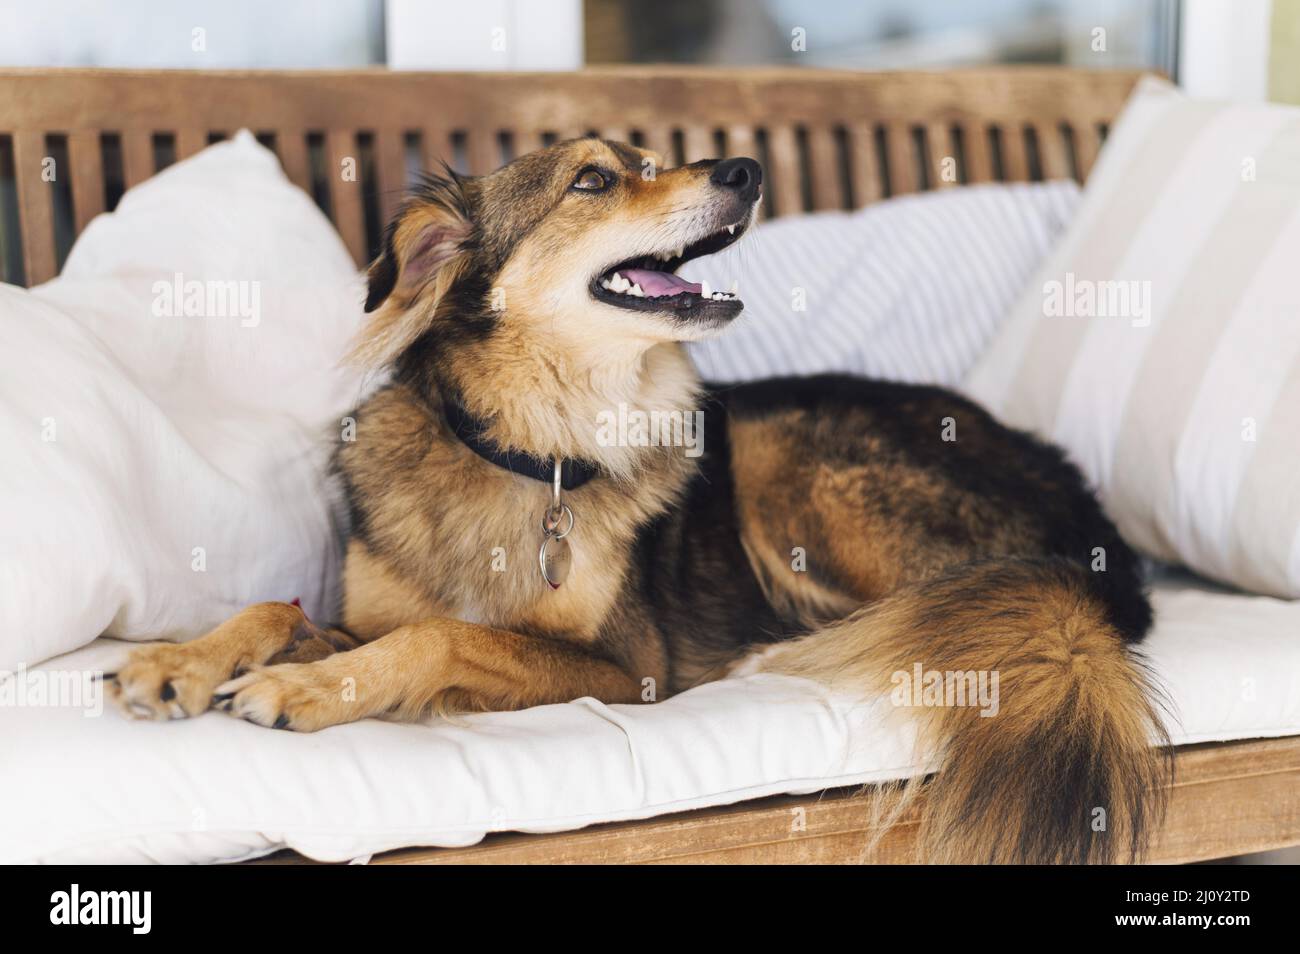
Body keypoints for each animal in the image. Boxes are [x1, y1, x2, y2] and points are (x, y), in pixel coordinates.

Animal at [109, 136, 1170, 868]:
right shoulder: (365, 613)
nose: (745, 167)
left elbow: (441, 636)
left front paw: (299, 690)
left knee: (930, 612)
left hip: (786, 454)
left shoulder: (626, 670)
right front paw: (178, 663)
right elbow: (282, 610)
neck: (537, 451)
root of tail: (1097, 550)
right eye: (592, 180)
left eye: (650, 162)